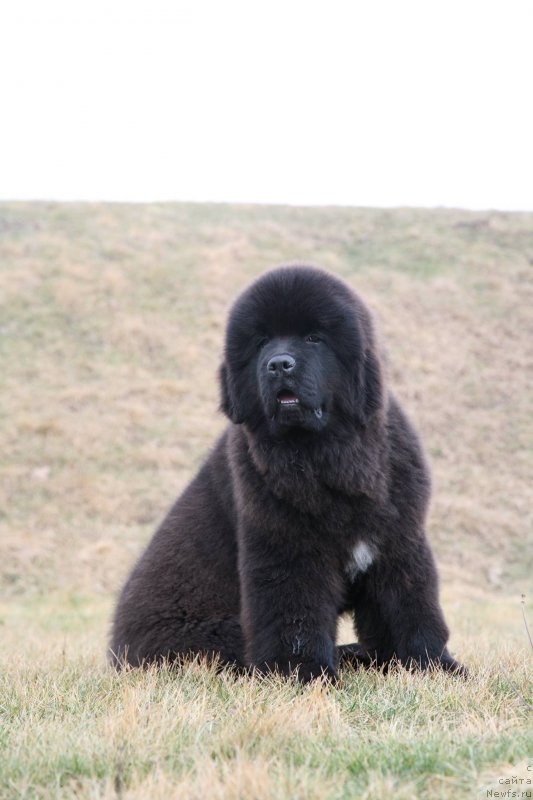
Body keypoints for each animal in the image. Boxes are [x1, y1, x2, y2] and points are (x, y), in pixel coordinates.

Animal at [110, 266, 464, 680]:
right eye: (262, 341)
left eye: (314, 338)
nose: (279, 364)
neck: (327, 456)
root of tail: (116, 650)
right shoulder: (288, 550)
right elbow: (295, 617)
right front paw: (304, 675)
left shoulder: (398, 542)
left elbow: (409, 607)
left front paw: (436, 667)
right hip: (216, 635)